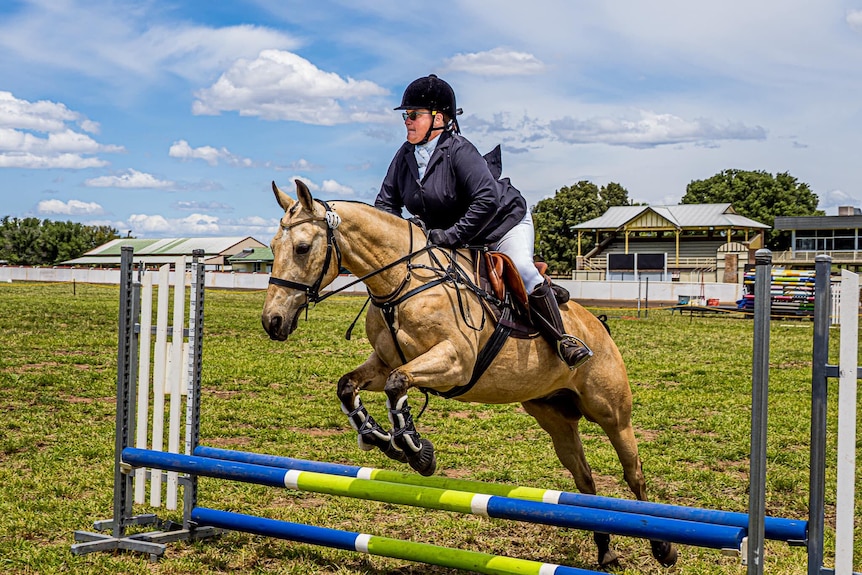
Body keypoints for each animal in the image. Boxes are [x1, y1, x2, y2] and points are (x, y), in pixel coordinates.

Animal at [260, 181, 680, 572]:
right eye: (274, 246)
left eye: (301, 248)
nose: (273, 322)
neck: (403, 282)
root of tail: (598, 327)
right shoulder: (383, 362)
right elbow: (350, 386)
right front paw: (378, 437)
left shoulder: (454, 363)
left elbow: (399, 384)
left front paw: (416, 451)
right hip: (554, 418)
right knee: (585, 481)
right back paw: (606, 551)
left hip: (611, 412)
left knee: (633, 473)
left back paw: (663, 547)